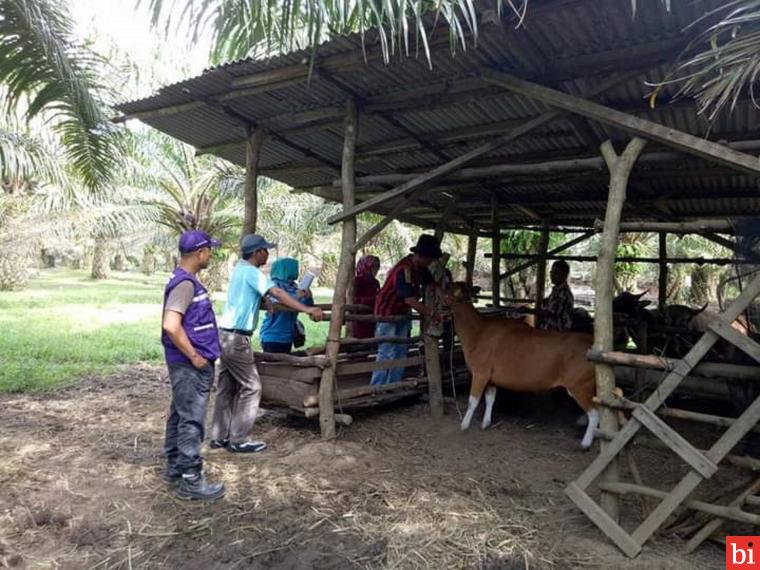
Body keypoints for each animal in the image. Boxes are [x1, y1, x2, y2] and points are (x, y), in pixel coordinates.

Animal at [446, 282, 600, 446]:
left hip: (580, 385)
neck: (477, 332)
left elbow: (473, 401)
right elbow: (490, 399)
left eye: (449, 289)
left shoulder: (480, 373)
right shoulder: (491, 378)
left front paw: (464, 425)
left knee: (594, 412)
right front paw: (485, 423)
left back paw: (586, 443)